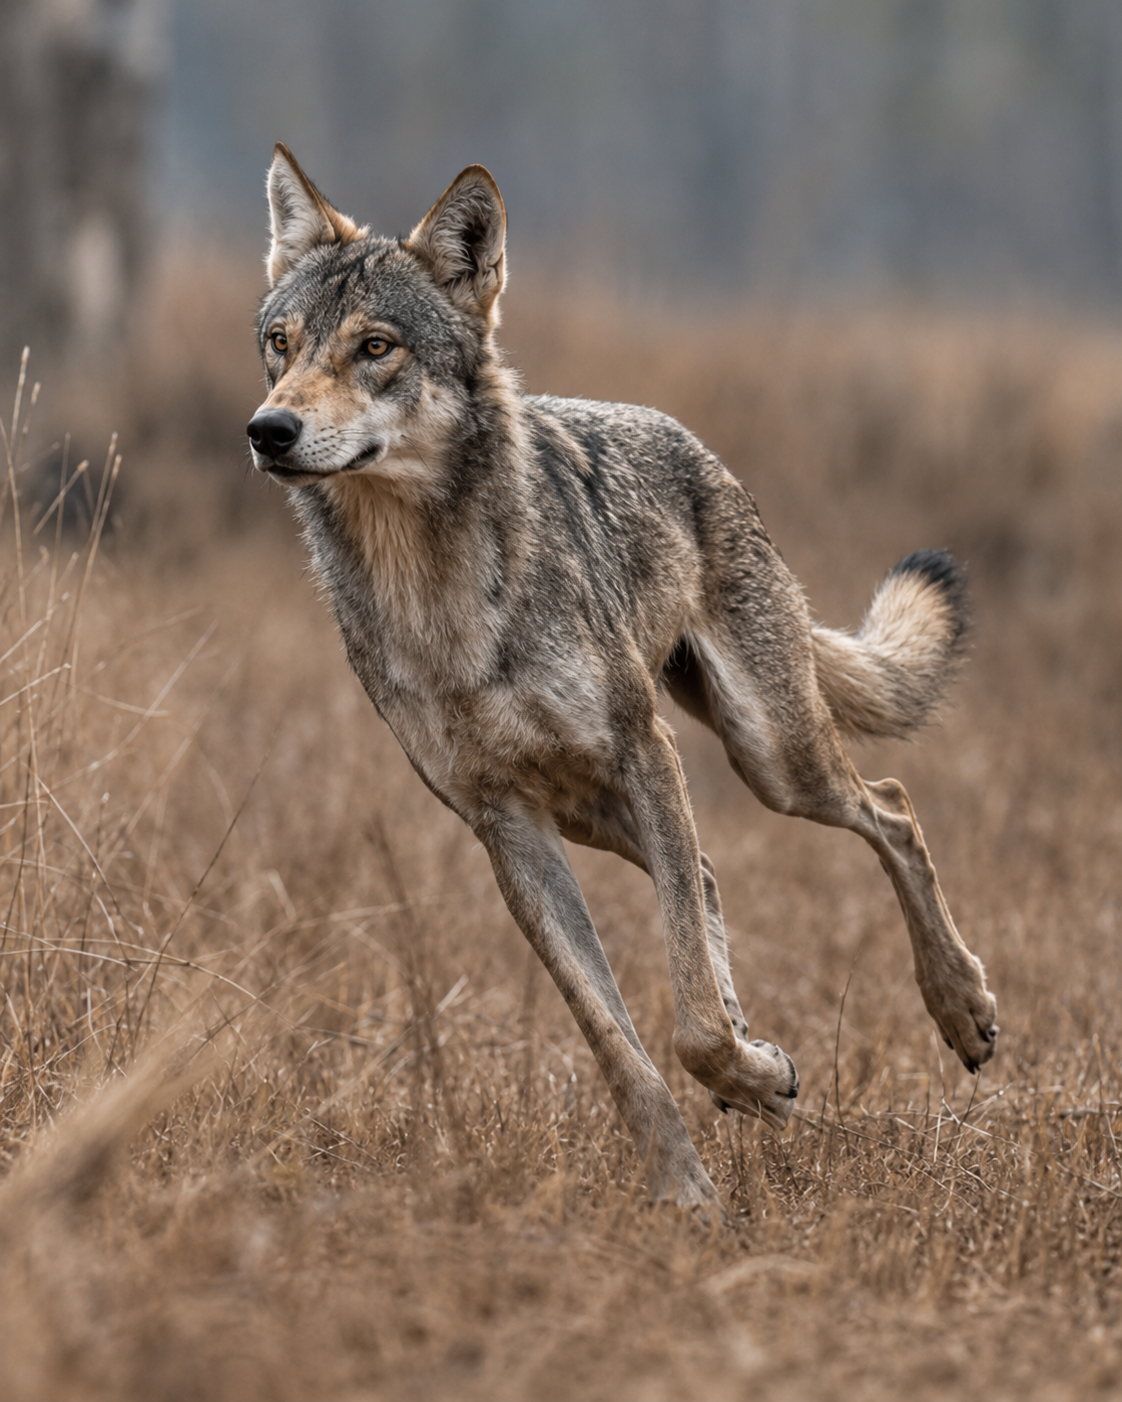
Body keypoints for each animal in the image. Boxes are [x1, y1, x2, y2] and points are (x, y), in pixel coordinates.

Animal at [247, 145, 998, 1214]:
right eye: (282, 342)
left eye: (376, 347)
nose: (268, 429)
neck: (439, 594)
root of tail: (700, 450)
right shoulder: (505, 825)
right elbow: (621, 1048)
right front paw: (687, 1195)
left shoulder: (646, 753)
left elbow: (689, 1027)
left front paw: (749, 1081)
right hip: (606, 812)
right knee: (716, 879)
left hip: (767, 761)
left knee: (888, 807)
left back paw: (959, 1009)